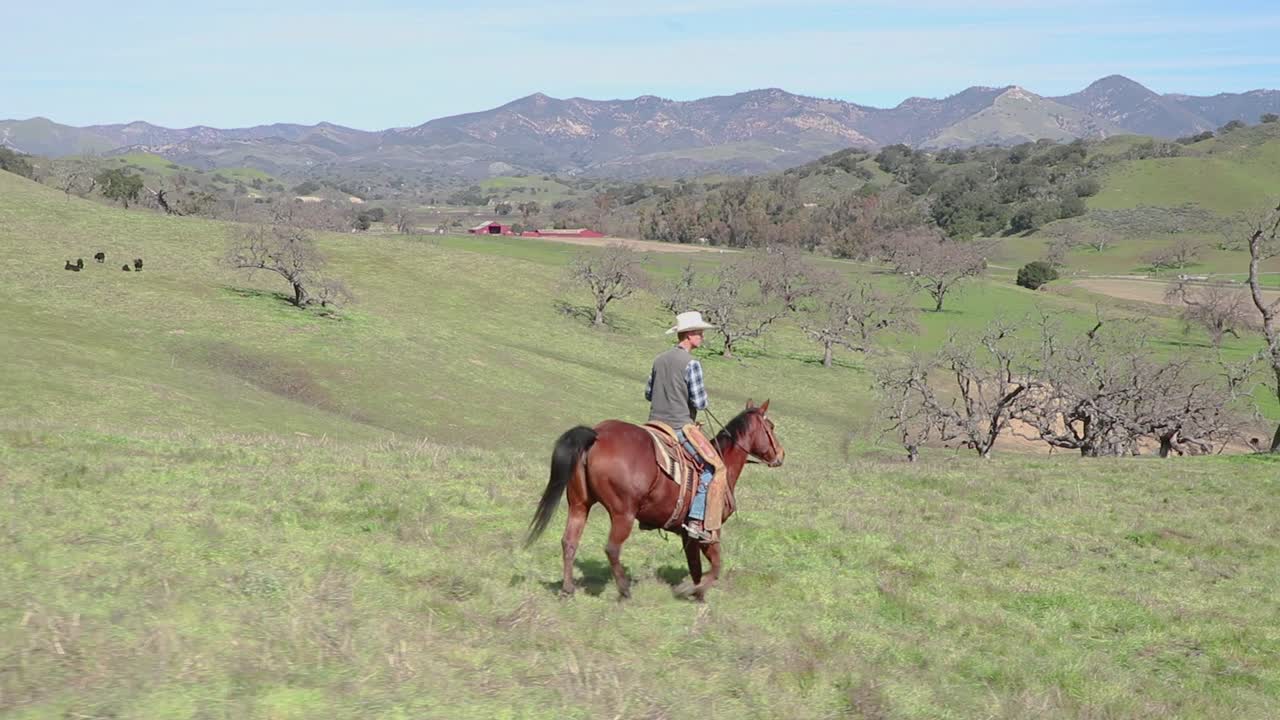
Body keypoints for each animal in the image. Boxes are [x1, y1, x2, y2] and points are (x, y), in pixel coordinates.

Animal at [525, 399, 784, 601]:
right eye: (771, 426)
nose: (781, 455)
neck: (725, 466)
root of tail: (597, 435)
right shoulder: (708, 532)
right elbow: (716, 565)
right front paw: (692, 591)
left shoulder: (688, 535)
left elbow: (696, 566)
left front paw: (697, 595)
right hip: (623, 514)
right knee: (612, 548)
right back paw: (624, 591)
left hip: (579, 505)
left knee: (569, 542)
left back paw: (568, 589)